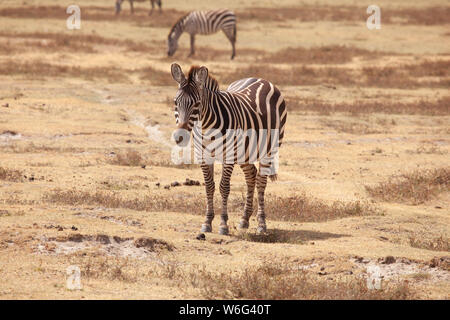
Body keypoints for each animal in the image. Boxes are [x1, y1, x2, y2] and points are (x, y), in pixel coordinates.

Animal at [171, 63, 286, 235]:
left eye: (196, 104)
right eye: (175, 102)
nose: (180, 137)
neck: (206, 127)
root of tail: (261, 79)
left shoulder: (229, 155)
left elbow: (224, 187)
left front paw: (223, 224)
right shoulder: (203, 156)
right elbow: (209, 187)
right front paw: (207, 222)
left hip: (269, 149)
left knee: (261, 182)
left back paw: (261, 224)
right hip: (245, 151)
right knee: (251, 175)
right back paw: (244, 219)